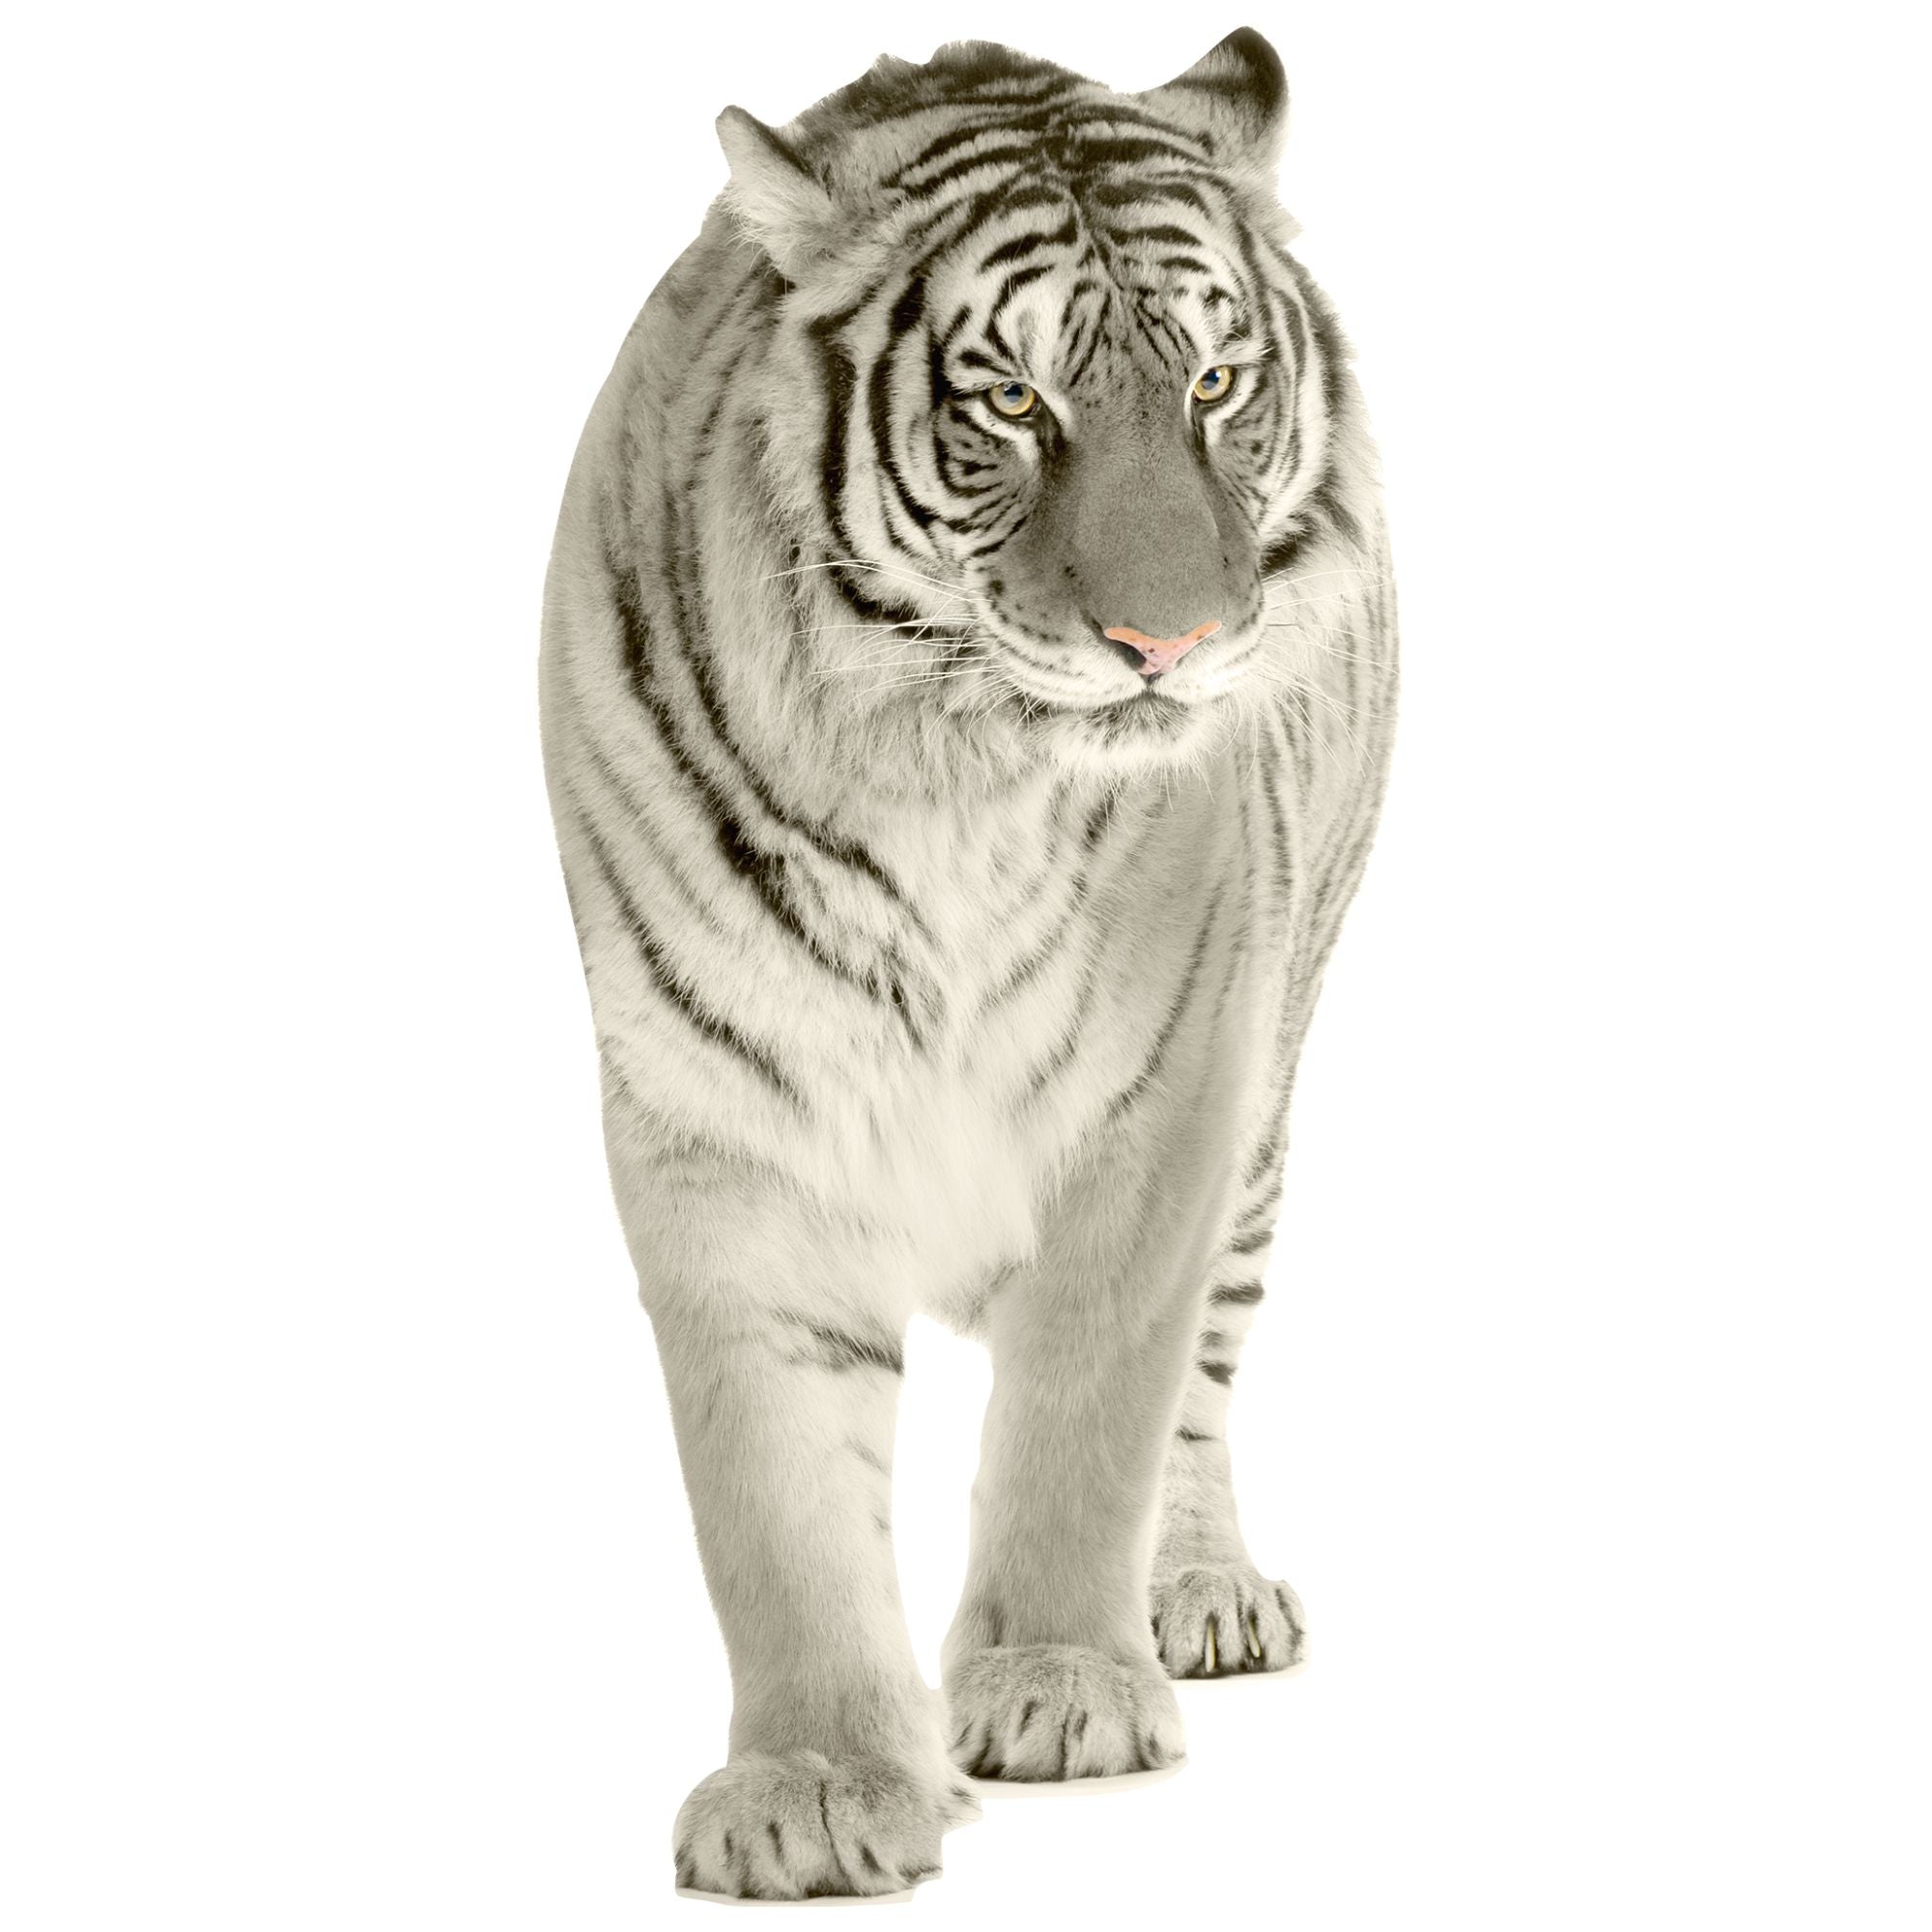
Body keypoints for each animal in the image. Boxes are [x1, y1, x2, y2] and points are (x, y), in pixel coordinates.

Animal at [539, 26, 1396, 1901]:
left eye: (1217, 381)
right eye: (1010, 402)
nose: (1174, 644)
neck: (945, 769)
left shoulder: (1166, 1096)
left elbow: (1090, 1410)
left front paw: (1063, 1684)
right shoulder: (722, 1115)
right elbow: (774, 1496)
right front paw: (810, 1783)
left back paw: (1200, 1597)